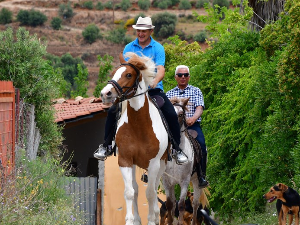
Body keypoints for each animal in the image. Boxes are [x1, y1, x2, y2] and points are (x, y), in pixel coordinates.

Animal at [100, 51, 169, 224]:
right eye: (113, 72)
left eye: (129, 74)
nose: (105, 94)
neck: (139, 126)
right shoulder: (125, 160)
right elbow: (130, 192)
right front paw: (131, 220)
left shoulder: (153, 164)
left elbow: (150, 194)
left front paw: (152, 219)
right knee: (136, 189)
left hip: (162, 164)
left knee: (154, 189)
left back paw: (156, 215)